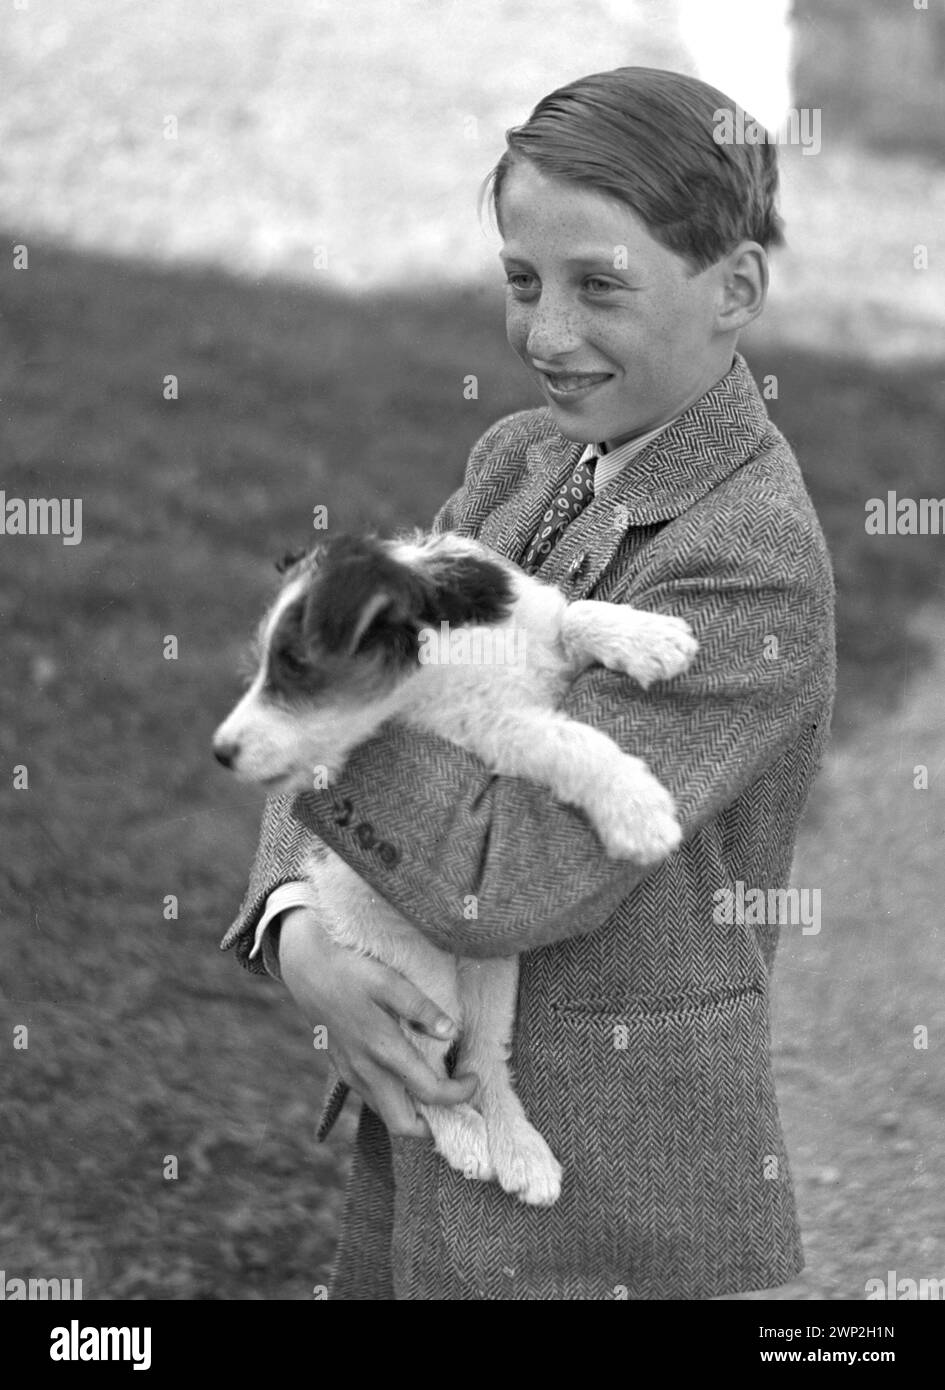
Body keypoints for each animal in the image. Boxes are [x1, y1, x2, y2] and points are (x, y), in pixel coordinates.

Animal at [215, 530, 700, 1206]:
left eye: (295, 665)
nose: (221, 752)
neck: (447, 656)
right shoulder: (489, 732)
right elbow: (561, 737)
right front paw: (637, 808)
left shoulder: (531, 642)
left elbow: (572, 614)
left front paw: (651, 638)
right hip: (415, 976)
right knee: (426, 1075)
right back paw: (468, 1140)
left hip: (496, 976)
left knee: (483, 1064)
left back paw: (521, 1155)